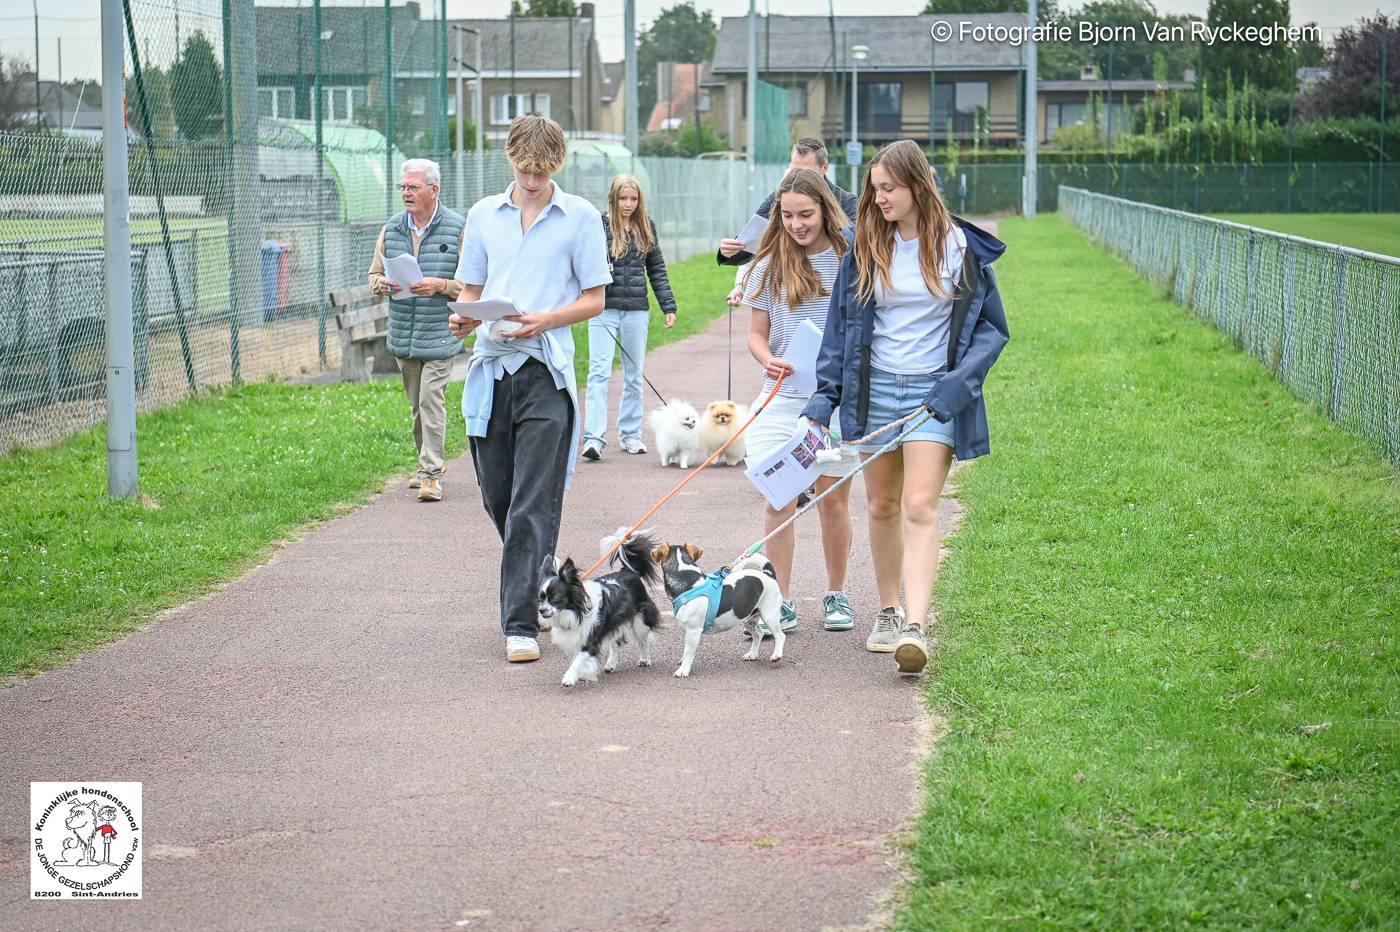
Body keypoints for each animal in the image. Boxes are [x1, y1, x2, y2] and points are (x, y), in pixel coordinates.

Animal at [537, 526, 663, 685]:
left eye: (555, 598)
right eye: (541, 598)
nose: (541, 610)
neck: (575, 611)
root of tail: (628, 571)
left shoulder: (590, 640)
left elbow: (578, 660)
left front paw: (569, 677)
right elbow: (578, 658)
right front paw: (579, 674)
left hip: (640, 621)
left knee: (643, 640)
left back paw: (645, 659)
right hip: (615, 622)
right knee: (615, 643)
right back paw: (611, 664)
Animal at [652, 537, 789, 674]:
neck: (688, 580)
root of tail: (767, 574)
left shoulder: (693, 630)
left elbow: (688, 652)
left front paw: (683, 670)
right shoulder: (688, 630)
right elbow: (686, 650)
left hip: (769, 616)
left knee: (780, 636)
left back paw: (776, 655)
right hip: (747, 618)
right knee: (758, 634)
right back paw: (752, 654)